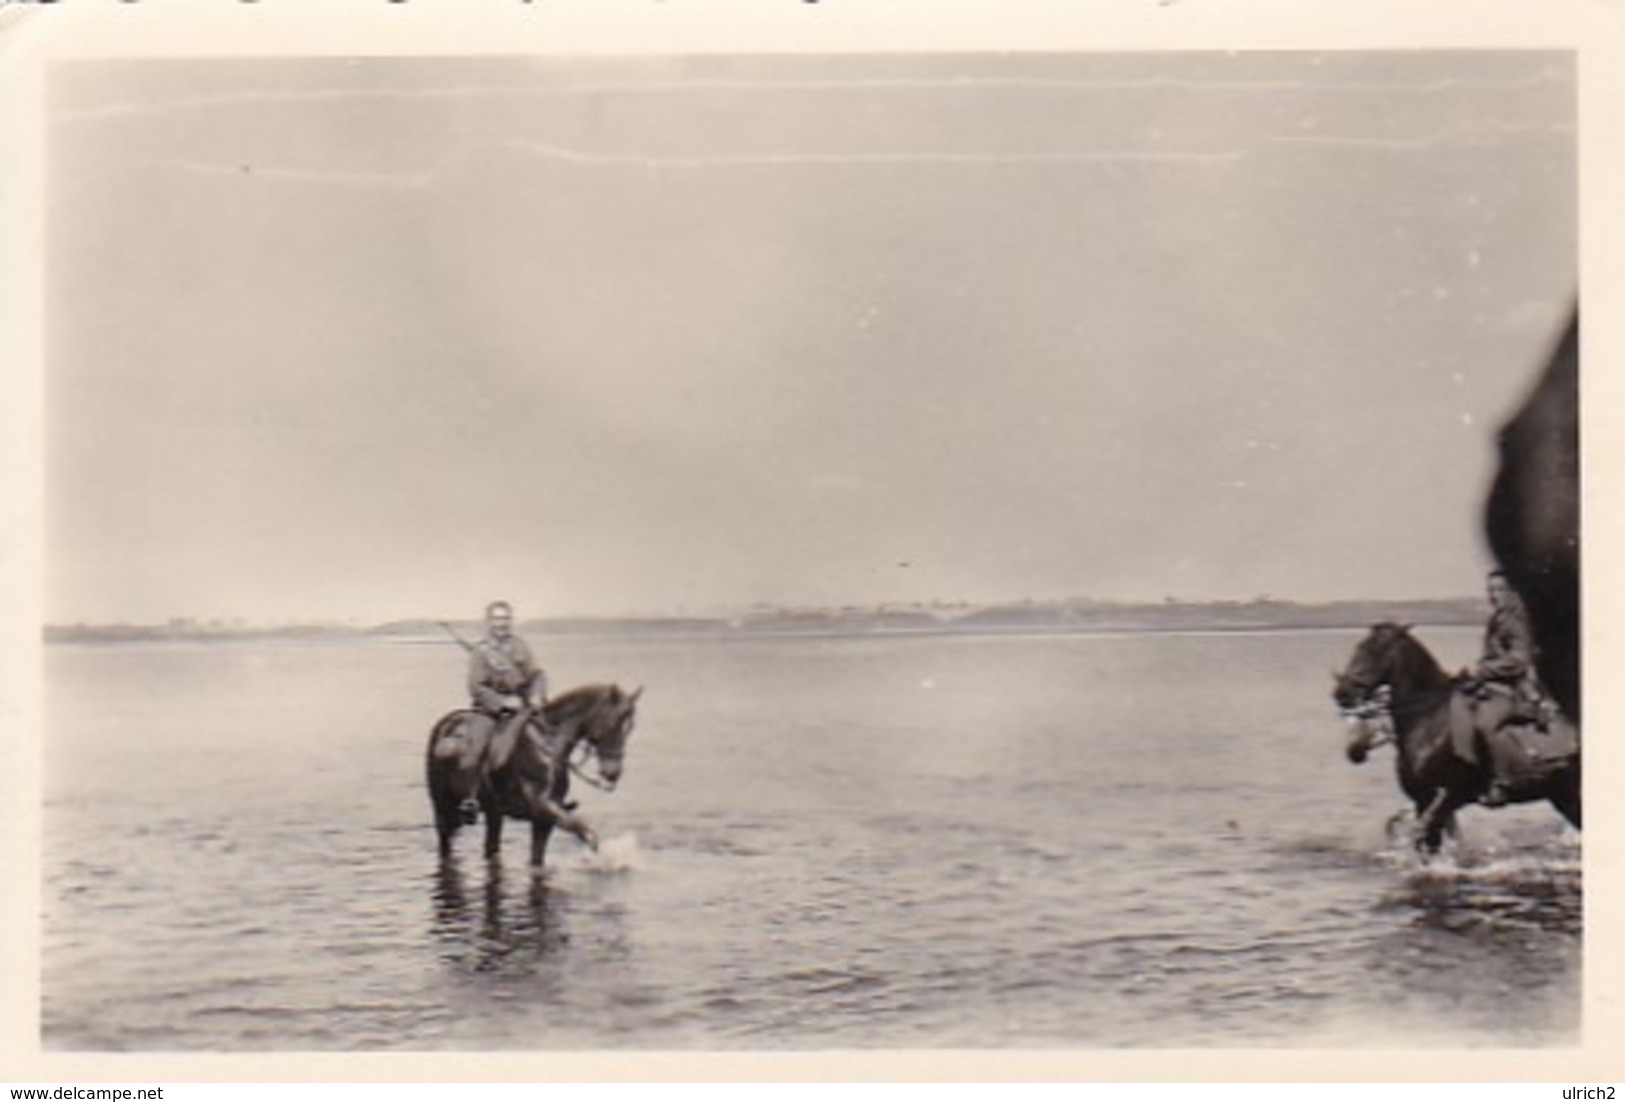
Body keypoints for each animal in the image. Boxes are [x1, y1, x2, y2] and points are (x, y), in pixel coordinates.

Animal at [425, 682, 640, 871]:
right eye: (614, 723)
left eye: (629, 727)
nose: (613, 773)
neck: (548, 747)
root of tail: (446, 723)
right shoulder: (544, 809)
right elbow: (585, 831)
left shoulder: (543, 821)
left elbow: (539, 858)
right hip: (442, 805)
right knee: (446, 841)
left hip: (493, 813)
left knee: (490, 846)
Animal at [1326, 620, 1579, 851]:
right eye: (1358, 647)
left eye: (1373, 651)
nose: (1342, 693)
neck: (1430, 722)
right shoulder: (1423, 798)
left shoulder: (1451, 795)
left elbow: (1427, 835)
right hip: (1562, 797)